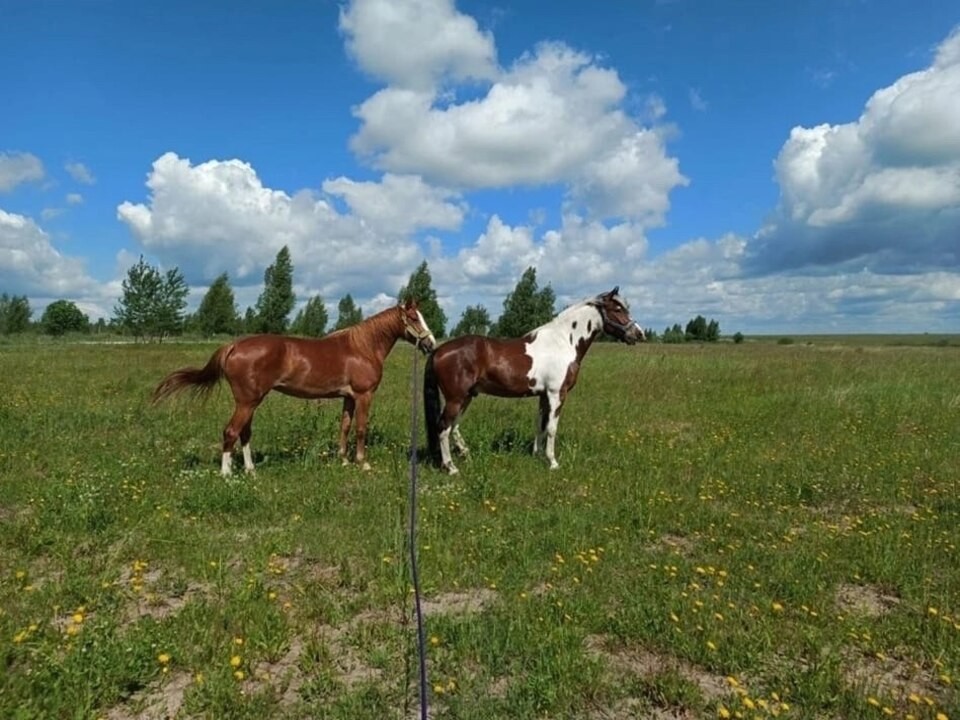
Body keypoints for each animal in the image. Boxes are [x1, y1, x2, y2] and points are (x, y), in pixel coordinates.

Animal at [152, 300, 436, 476]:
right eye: (413, 318)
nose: (431, 344)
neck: (362, 348)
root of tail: (234, 346)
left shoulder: (348, 397)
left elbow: (345, 426)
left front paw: (343, 460)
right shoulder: (364, 395)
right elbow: (361, 428)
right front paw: (362, 463)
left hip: (251, 402)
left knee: (244, 433)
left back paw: (250, 469)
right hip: (247, 402)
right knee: (231, 431)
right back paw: (226, 473)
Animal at [422, 286, 640, 472]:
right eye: (618, 309)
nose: (638, 334)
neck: (563, 342)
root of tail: (438, 351)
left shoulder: (543, 395)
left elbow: (540, 425)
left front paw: (538, 455)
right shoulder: (557, 394)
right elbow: (551, 428)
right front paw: (553, 462)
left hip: (466, 397)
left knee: (453, 426)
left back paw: (465, 455)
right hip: (455, 399)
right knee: (443, 427)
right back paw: (451, 467)